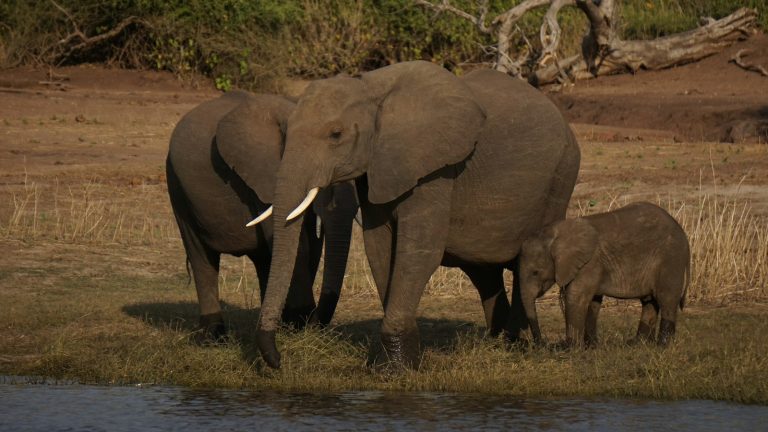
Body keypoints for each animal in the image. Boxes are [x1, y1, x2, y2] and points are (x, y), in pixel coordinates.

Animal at [166, 90, 358, 341]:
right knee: (201, 257)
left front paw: (295, 326)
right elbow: (295, 243)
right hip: (177, 186)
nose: (317, 324)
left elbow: (309, 244)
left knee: (263, 260)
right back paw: (213, 338)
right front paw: (298, 324)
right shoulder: (263, 174)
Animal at [248, 61, 580, 369]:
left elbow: (418, 252)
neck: (371, 88)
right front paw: (386, 363)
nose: (278, 361)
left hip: (562, 175)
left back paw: (515, 343)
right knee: (483, 271)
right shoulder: (377, 168)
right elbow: (379, 248)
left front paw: (395, 368)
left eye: (335, 134)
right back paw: (498, 340)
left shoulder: (434, 169)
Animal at [518, 201, 690, 348]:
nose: (540, 344)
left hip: (671, 259)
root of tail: (683, 234)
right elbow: (593, 301)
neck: (557, 232)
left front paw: (570, 349)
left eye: (535, 273)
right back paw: (637, 344)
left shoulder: (590, 263)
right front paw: (591, 347)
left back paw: (662, 346)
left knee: (666, 299)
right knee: (649, 303)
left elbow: (576, 297)